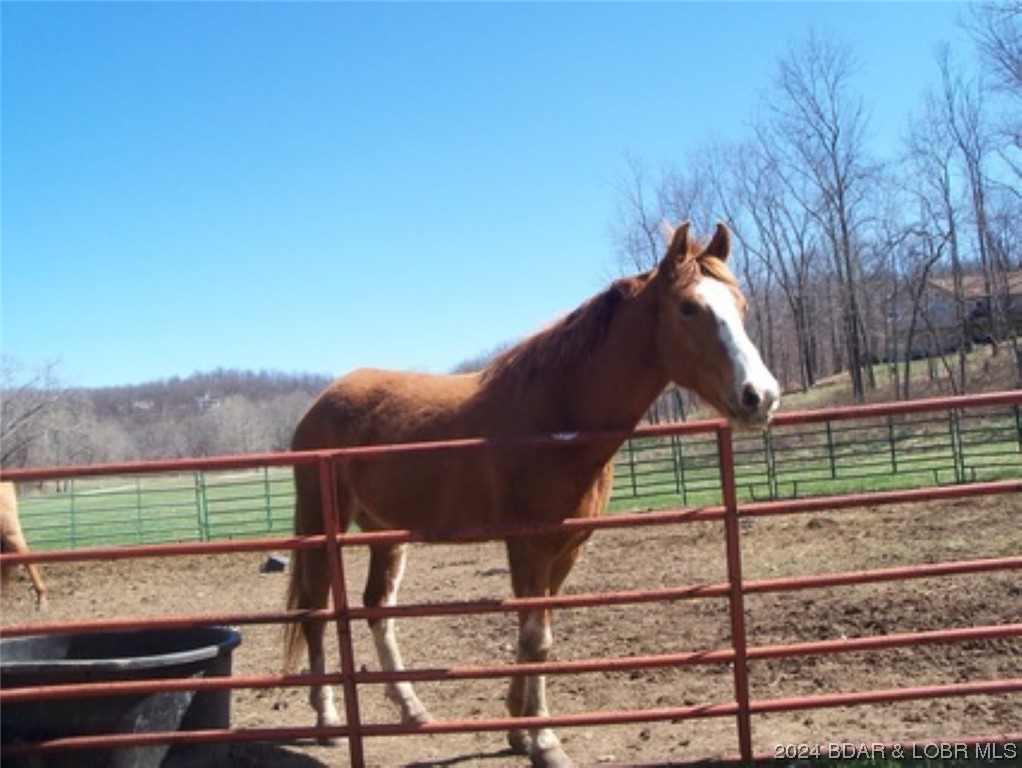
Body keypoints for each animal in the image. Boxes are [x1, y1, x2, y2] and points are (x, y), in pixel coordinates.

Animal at [285, 222, 779, 767]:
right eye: (689, 307)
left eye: (741, 306)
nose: (761, 396)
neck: (556, 415)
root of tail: (321, 403)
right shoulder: (529, 547)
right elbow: (535, 638)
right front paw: (545, 743)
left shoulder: (565, 551)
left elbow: (536, 636)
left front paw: (518, 730)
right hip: (321, 527)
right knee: (315, 609)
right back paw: (328, 719)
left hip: (385, 532)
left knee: (377, 607)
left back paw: (412, 708)